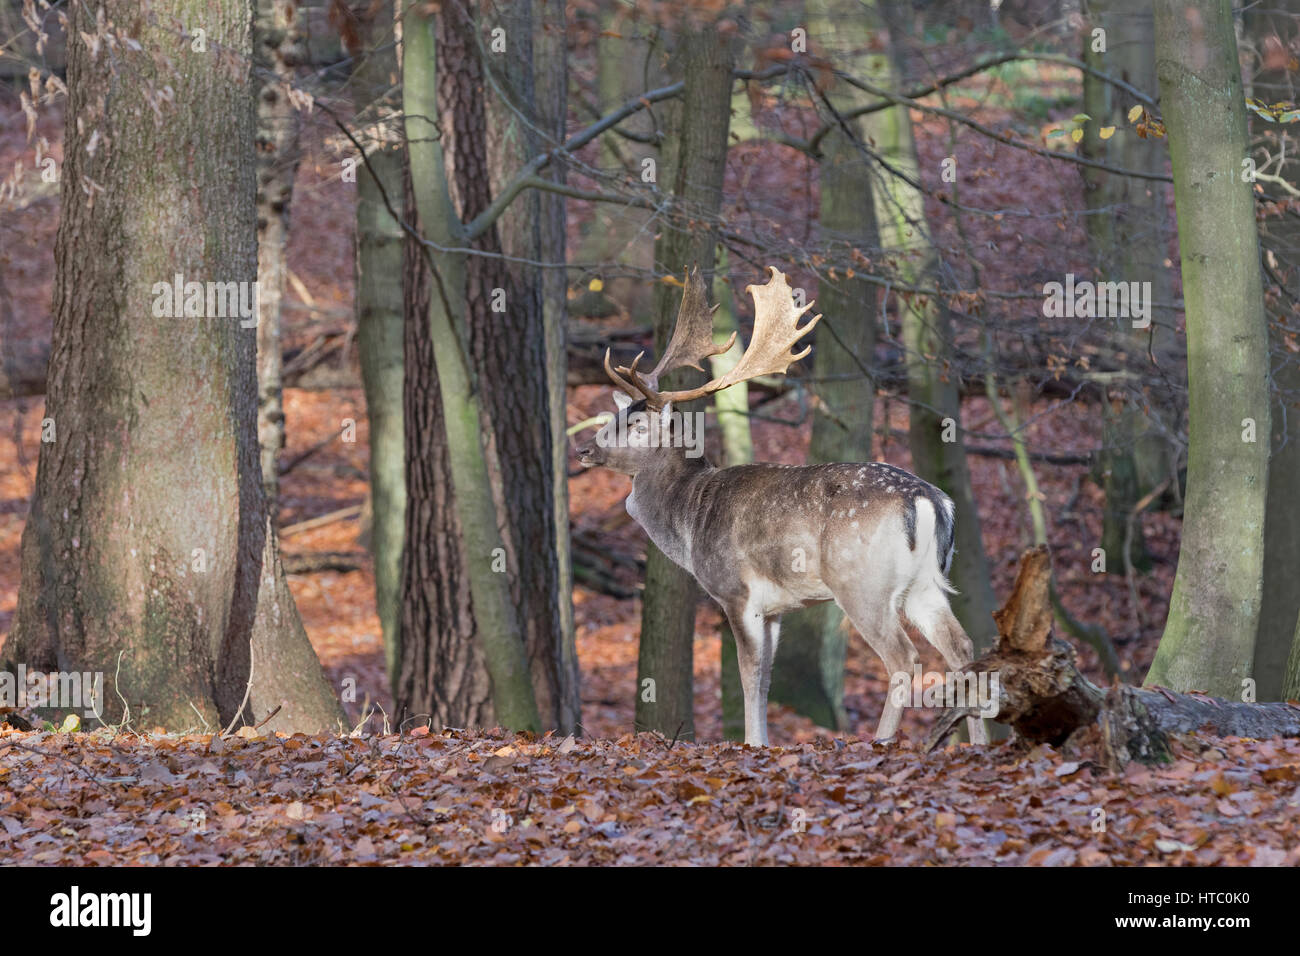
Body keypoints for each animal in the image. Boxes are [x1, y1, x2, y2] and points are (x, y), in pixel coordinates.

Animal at [574, 264, 987, 749]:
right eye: (617, 415)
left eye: (638, 425)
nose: (584, 449)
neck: (690, 517)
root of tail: (929, 500)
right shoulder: (776, 610)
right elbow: (766, 679)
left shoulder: (736, 592)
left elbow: (749, 676)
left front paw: (754, 743)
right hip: (925, 583)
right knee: (963, 648)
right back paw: (980, 743)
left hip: (861, 581)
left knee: (903, 658)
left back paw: (882, 741)